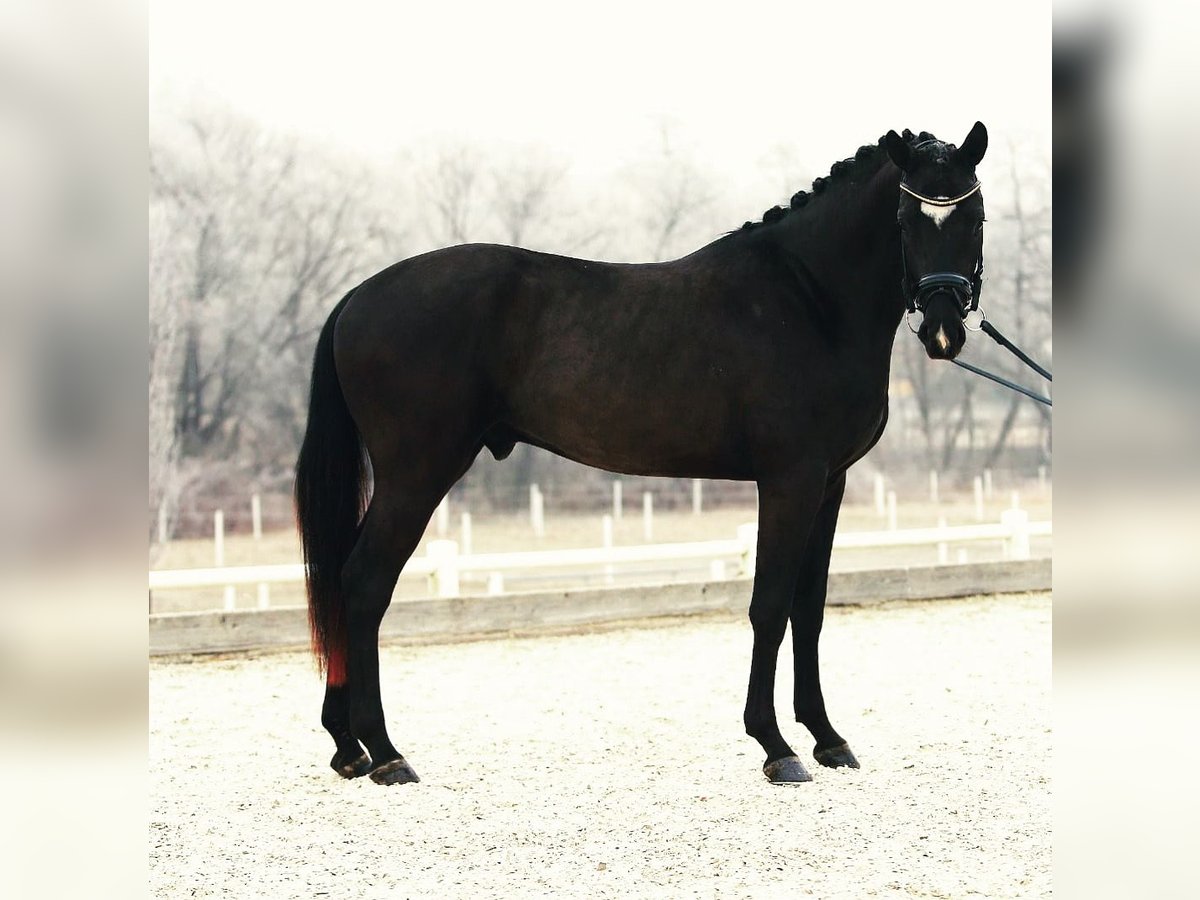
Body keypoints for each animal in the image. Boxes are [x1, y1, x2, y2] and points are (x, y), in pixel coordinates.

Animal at [295, 122, 989, 785]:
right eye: (906, 219)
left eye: (975, 217)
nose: (943, 330)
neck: (809, 300)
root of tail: (357, 297)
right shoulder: (789, 480)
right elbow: (769, 605)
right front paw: (775, 746)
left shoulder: (829, 483)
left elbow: (808, 609)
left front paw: (827, 738)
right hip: (416, 475)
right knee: (363, 582)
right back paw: (386, 753)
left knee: (343, 580)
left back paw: (349, 747)